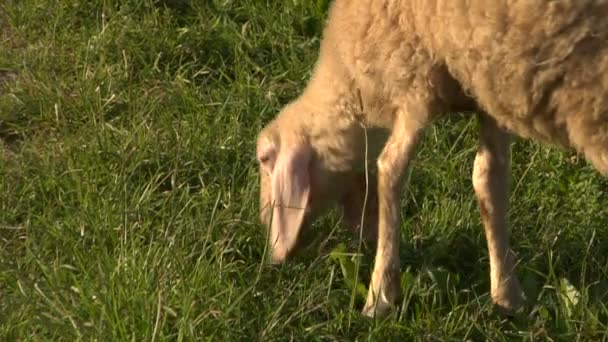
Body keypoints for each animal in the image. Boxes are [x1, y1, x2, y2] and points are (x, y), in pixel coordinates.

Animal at [254, 0, 608, 318]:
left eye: (263, 158)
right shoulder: (486, 82)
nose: (271, 252)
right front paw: (508, 293)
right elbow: (489, 179)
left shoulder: (413, 72)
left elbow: (390, 171)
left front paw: (380, 296)